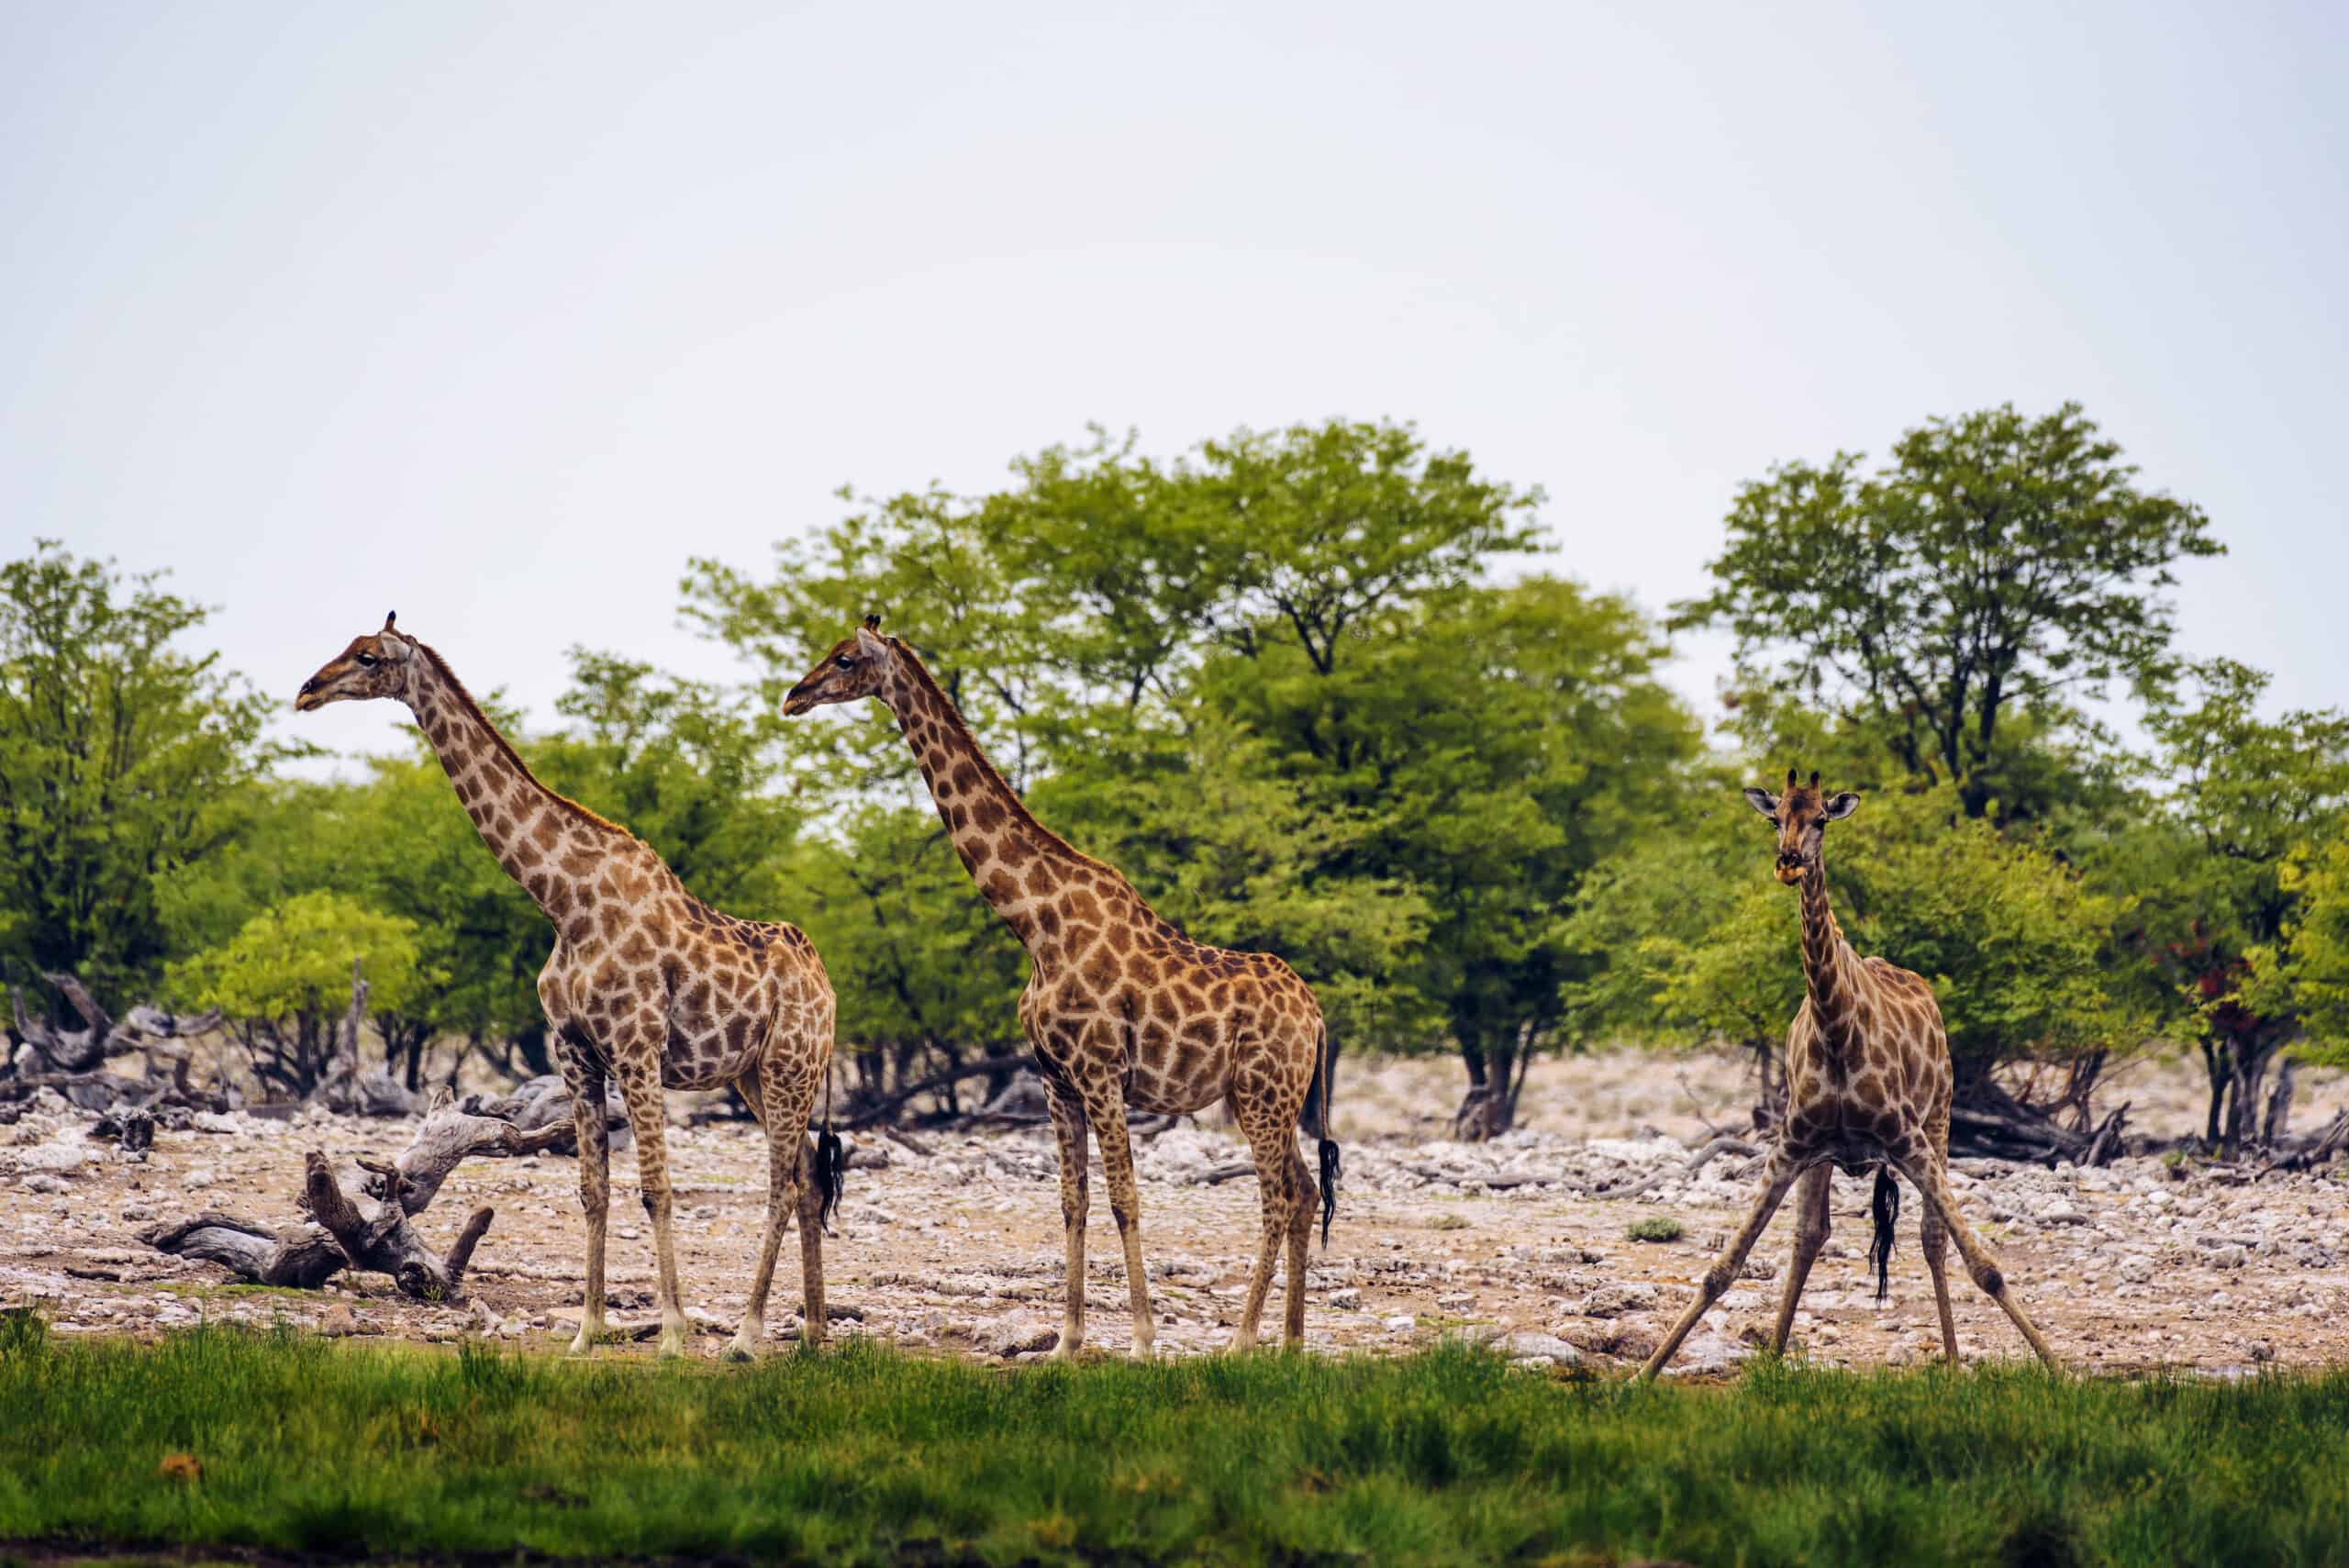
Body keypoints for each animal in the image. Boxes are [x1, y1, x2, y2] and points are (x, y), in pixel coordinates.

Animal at [296, 613, 841, 1360]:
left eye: (369, 657)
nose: (307, 689)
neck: (563, 900)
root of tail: (829, 989)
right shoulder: (574, 1050)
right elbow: (593, 1190)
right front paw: (587, 1331)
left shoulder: (636, 1048)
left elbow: (657, 1188)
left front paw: (673, 1334)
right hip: (757, 1074)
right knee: (811, 1177)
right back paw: (811, 1334)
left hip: (789, 1066)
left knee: (783, 1186)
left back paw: (747, 1335)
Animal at [782, 615, 1339, 1358]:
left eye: (844, 659)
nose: (793, 696)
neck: (1033, 923)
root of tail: (1317, 1017)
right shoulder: (1055, 1077)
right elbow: (1073, 1200)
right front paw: (1068, 1342)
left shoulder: (1100, 1069)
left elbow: (1124, 1197)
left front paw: (1141, 1340)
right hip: (1279, 1096)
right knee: (1304, 1192)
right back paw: (1292, 1345)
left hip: (1260, 1091)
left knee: (1277, 1196)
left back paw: (1244, 1342)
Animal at [1638, 768, 2061, 1378]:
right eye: (1774, 818)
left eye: (1821, 819)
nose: (1789, 861)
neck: (1836, 1030)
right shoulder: (1790, 1142)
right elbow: (1723, 1268)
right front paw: (1641, 1376)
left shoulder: (1908, 1138)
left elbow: (1985, 1265)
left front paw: (2060, 1369)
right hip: (1825, 1156)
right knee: (1811, 1235)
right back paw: (1772, 1357)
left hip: (1939, 1120)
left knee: (1932, 1239)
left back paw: (1955, 1364)